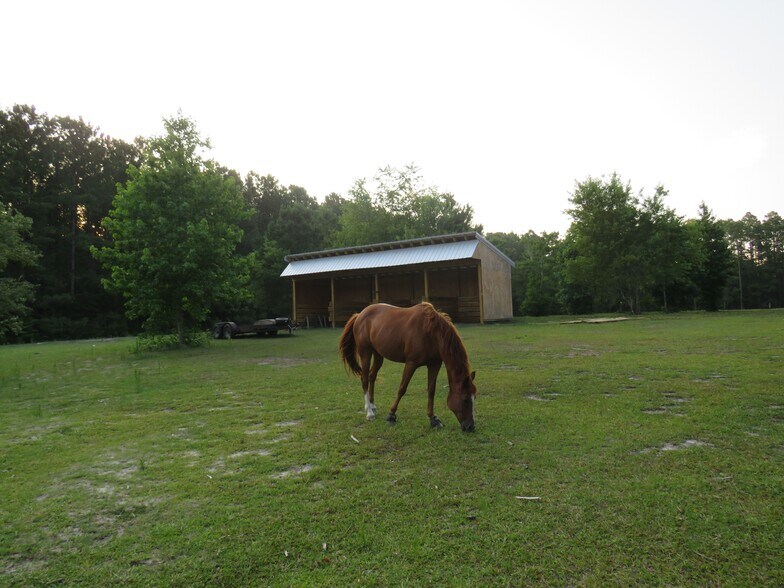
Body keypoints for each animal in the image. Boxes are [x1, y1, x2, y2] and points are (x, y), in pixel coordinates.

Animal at [339, 302, 477, 431]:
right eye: (465, 399)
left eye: (474, 397)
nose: (470, 427)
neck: (431, 333)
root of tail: (359, 315)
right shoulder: (411, 363)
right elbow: (402, 389)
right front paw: (391, 415)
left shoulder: (434, 364)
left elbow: (431, 391)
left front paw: (433, 419)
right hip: (365, 353)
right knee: (365, 379)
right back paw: (369, 412)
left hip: (378, 354)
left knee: (372, 376)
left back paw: (372, 405)